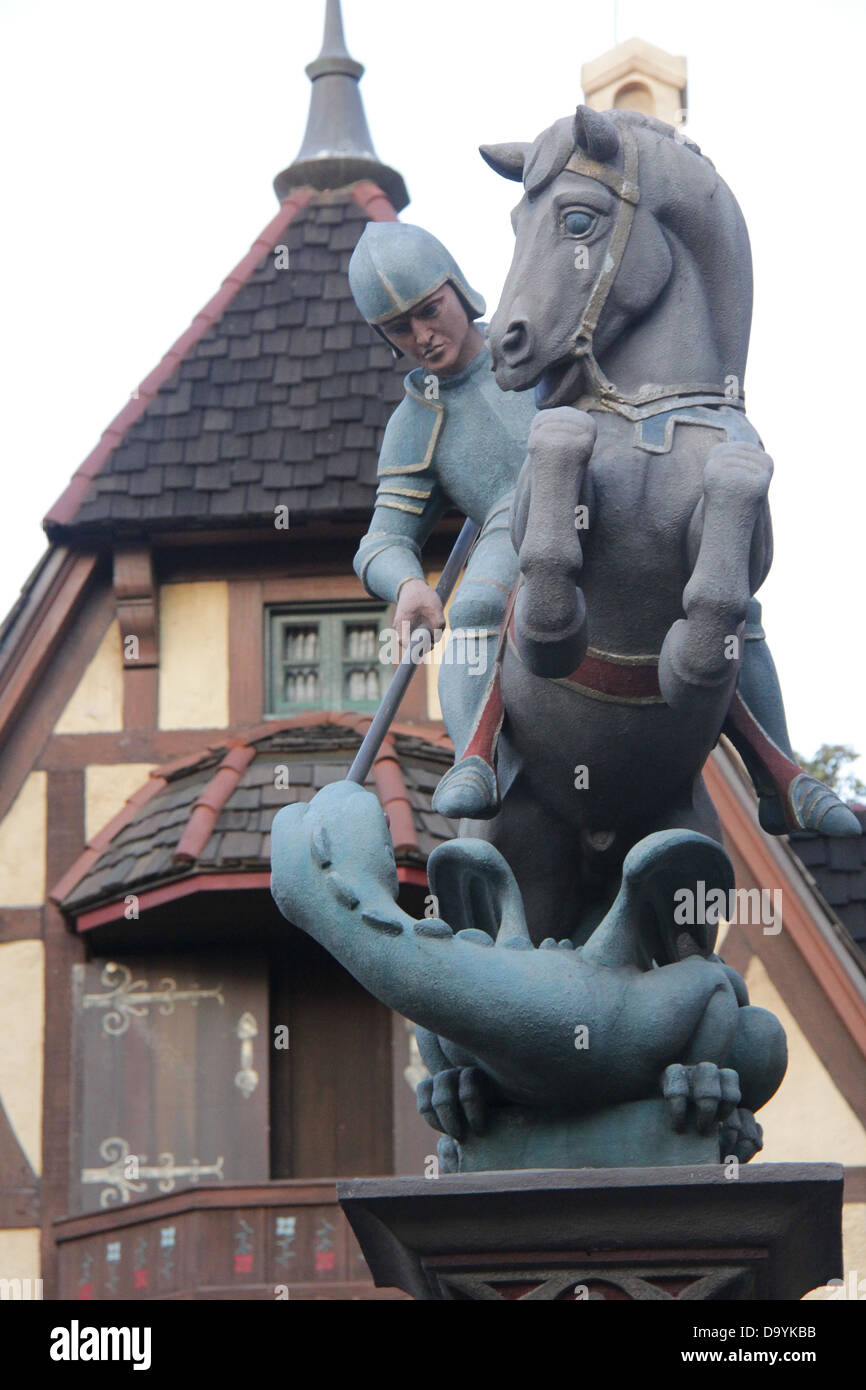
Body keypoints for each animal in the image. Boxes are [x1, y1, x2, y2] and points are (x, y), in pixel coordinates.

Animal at [475, 108, 778, 945]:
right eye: (513, 223)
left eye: (579, 219)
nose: (505, 345)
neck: (651, 418)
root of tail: (598, 837)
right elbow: (557, 444)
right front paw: (557, 628)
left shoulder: (746, 536)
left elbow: (739, 489)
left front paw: (687, 660)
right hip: (521, 846)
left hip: (687, 858)